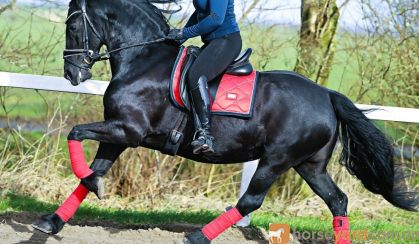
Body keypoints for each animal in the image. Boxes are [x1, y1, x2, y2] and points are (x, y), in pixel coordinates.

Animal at [33, 0, 416, 243]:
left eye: (72, 24)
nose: (72, 74)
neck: (142, 59)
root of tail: (327, 95)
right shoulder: (119, 132)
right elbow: (91, 171)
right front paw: (51, 221)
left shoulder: (129, 130)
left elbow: (75, 133)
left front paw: (90, 188)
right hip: (310, 165)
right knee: (338, 201)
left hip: (276, 159)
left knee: (250, 201)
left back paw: (197, 237)